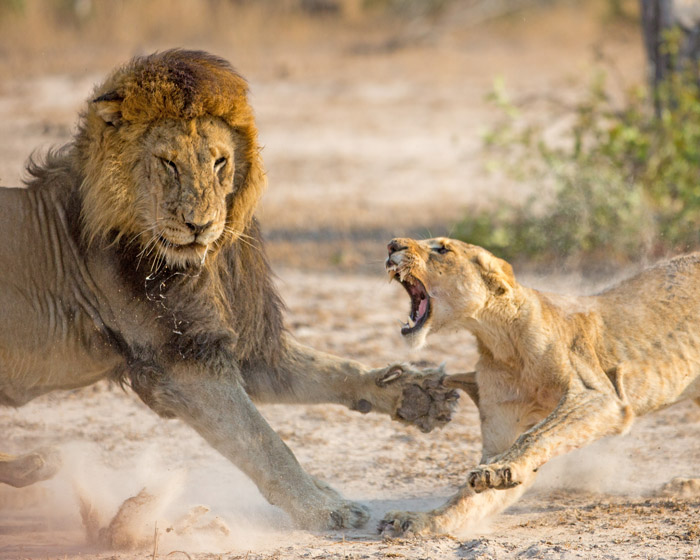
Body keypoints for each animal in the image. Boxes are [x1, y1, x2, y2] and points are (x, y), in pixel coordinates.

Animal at [0, 51, 456, 528]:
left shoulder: (241, 348)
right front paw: (322, 508)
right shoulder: (182, 362)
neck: (199, 263)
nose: (198, 225)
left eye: (219, 162)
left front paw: (416, 393)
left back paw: (33, 464)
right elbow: (264, 441)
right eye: (168, 163)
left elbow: (333, 369)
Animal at [382, 235, 700, 532]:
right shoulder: (502, 429)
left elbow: (536, 434)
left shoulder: (600, 396)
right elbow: (467, 500)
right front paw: (419, 520)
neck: (500, 342)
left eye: (442, 249)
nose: (392, 245)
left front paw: (496, 469)